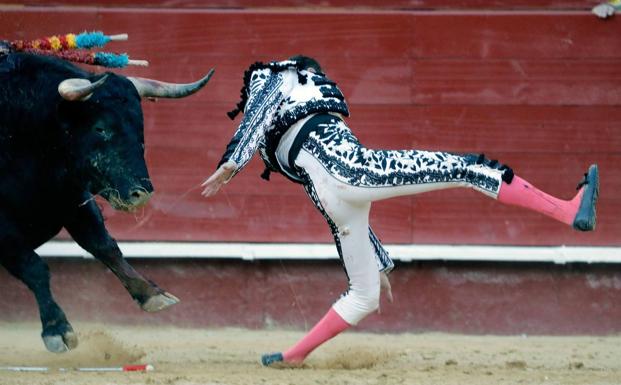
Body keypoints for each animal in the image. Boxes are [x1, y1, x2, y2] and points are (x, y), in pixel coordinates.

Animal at [0, 51, 213, 352]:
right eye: (100, 128)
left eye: (140, 126)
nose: (142, 193)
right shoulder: (4, 229)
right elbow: (34, 267)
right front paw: (57, 329)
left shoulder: (72, 198)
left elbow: (104, 245)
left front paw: (151, 294)